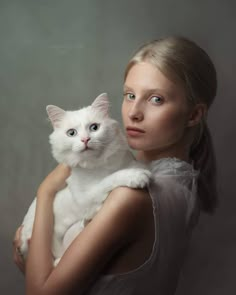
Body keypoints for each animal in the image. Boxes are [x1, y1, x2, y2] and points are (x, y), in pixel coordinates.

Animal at [19, 92, 150, 266]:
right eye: (71, 133)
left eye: (94, 127)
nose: (85, 140)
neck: (98, 165)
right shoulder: (86, 195)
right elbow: (110, 178)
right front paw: (137, 175)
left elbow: (129, 165)